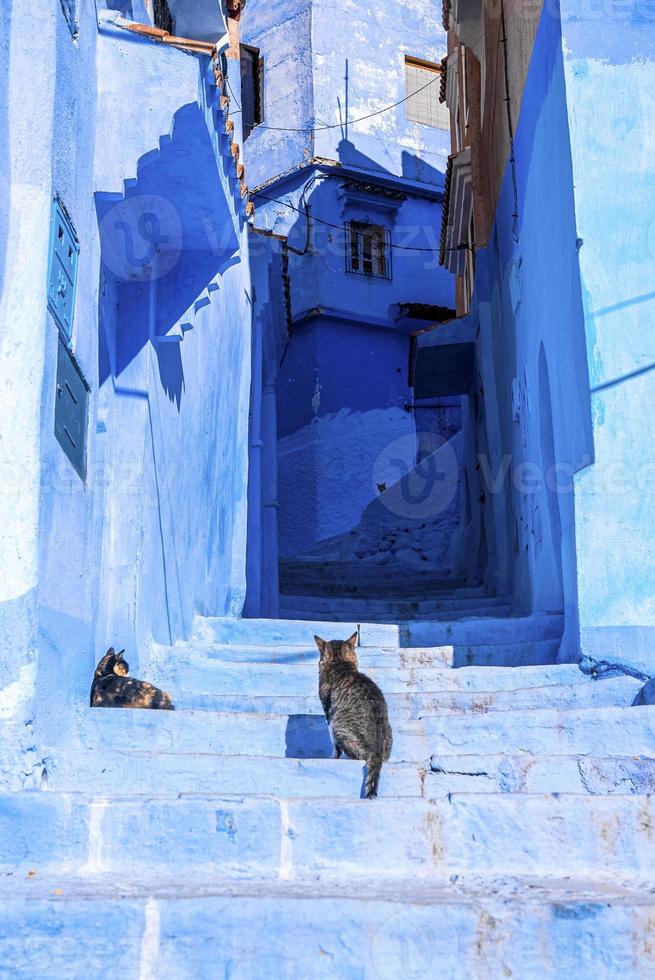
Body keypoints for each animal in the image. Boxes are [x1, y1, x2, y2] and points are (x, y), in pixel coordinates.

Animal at [316, 636, 392, 796]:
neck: (339, 663)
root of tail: (376, 753)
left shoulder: (329, 712)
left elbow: (334, 744)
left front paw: (333, 756)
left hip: (339, 725)